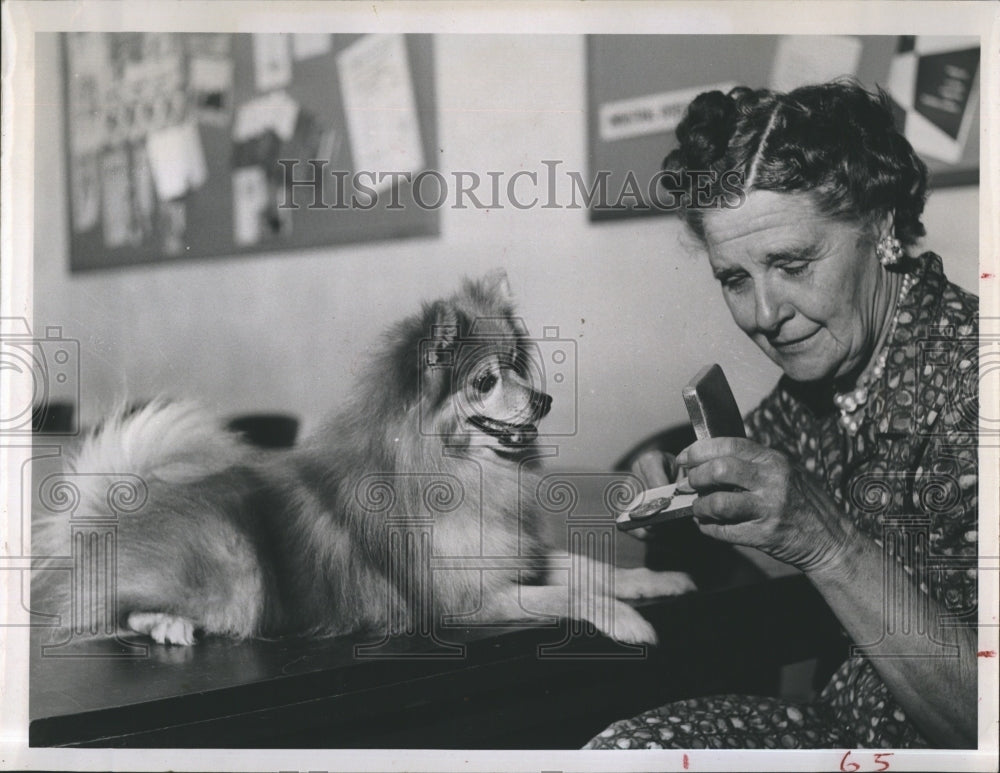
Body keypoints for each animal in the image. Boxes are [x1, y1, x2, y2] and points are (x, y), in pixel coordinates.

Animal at [31, 272, 692, 644]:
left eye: (517, 368)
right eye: (485, 382)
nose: (545, 400)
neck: (463, 471)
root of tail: (111, 513)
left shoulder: (514, 557)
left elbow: (595, 569)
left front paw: (655, 580)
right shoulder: (464, 600)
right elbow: (575, 595)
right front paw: (628, 622)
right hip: (233, 565)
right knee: (115, 612)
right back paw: (168, 625)